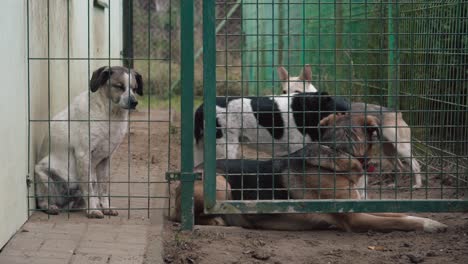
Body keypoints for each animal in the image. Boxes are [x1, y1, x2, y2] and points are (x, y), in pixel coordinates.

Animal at [173, 112, 446, 232]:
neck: (339, 149)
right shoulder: (354, 218)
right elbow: (399, 221)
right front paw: (430, 224)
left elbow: (398, 213)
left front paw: (427, 218)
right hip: (220, 181)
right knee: (183, 217)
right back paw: (215, 219)